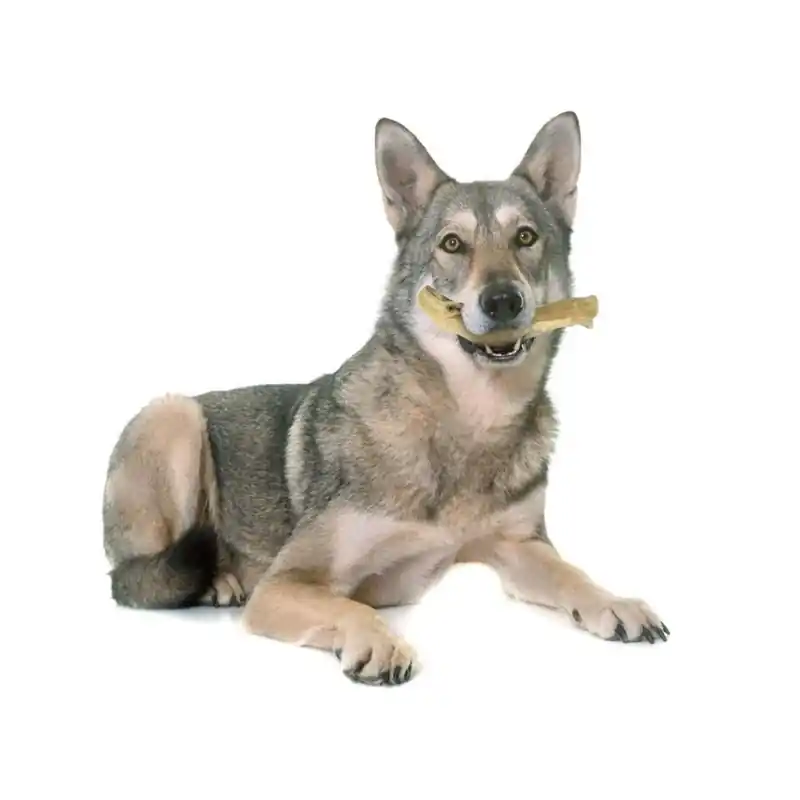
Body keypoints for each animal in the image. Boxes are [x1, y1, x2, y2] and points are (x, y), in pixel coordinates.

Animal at [103, 111, 669, 686]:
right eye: (452, 244)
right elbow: (350, 606)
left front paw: (614, 602)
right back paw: (215, 580)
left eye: (525, 237)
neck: (468, 419)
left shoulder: (520, 547)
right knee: (137, 575)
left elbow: (573, 574)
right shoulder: (287, 582)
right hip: (174, 416)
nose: (503, 300)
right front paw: (379, 642)